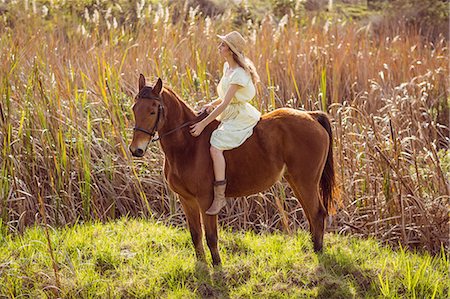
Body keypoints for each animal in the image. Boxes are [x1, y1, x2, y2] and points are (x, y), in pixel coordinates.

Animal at [129, 75, 334, 268]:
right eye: (134, 108)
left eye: (152, 111)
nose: (136, 150)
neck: (188, 144)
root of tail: (311, 116)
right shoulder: (187, 199)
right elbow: (195, 234)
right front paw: (202, 266)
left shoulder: (206, 200)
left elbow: (211, 236)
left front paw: (218, 267)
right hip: (296, 181)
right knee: (311, 214)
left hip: (305, 181)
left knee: (317, 213)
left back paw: (318, 254)